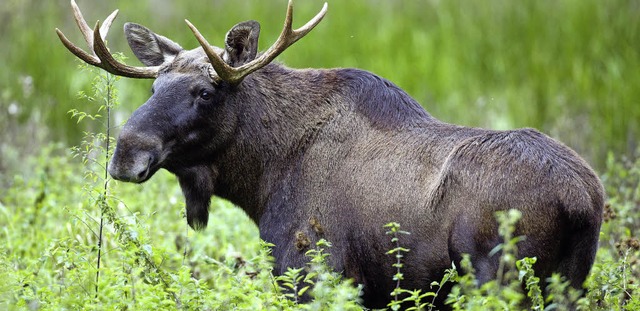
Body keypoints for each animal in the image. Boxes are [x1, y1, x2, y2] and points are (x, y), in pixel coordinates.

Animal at [57, 0, 604, 310]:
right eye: (155, 86)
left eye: (205, 92)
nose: (125, 154)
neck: (261, 177)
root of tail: (582, 201)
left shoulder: (310, 271)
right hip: (569, 282)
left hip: (496, 276)